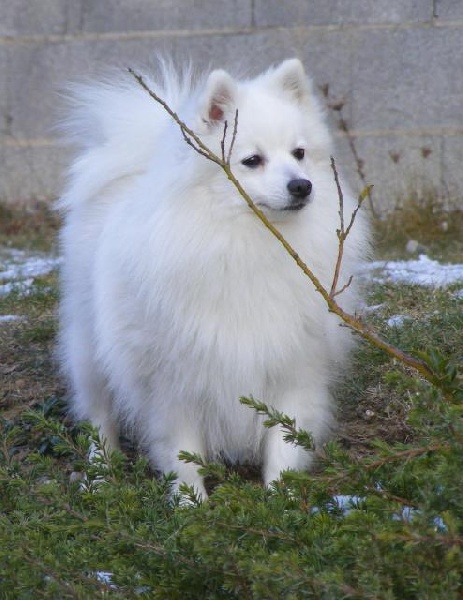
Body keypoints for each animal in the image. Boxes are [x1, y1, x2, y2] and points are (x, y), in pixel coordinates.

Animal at [59, 57, 370, 496]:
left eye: (299, 153)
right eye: (252, 160)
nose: (302, 185)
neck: (246, 241)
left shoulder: (293, 367)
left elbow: (285, 442)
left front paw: (281, 499)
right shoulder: (173, 382)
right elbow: (181, 452)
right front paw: (191, 504)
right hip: (90, 350)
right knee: (99, 417)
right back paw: (101, 476)